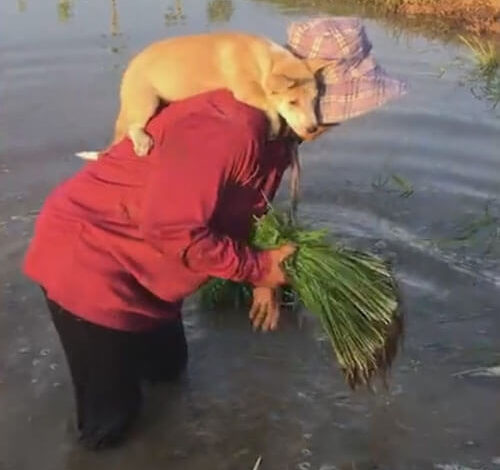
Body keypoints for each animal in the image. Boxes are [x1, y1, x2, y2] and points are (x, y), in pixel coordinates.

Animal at [77, 31, 328, 160]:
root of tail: (128, 73)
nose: (313, 129)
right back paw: (142, 142)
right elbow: (271, 106)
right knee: (133, 126)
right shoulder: (245, 90)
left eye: (315, 100)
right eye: (293, 102)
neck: (266, 60)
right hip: (146, 99)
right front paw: (275, 126)